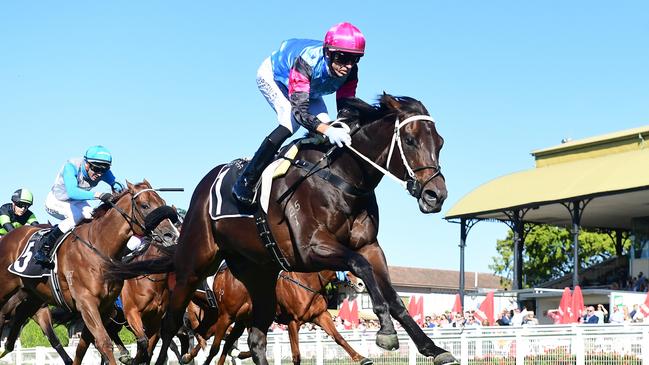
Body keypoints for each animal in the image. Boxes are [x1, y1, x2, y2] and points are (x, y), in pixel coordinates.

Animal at [0, 181, 177, 362]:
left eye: (162, 203)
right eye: (145, 205)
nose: (171, 235)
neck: (100, 246)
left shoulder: (109, 308)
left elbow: (85, 345)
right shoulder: (92, 303)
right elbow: (104, 342)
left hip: (34, 295)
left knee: (21, 316)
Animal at [180, 264, 370, 364]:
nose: (361, 284)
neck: (306, 282)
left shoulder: (321, 315)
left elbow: (339, 338)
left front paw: (361, 357)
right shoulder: (293, 322)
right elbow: (296, 355)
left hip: (236, 319)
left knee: (219, 342)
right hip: (226, 316)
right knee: (211, 340)